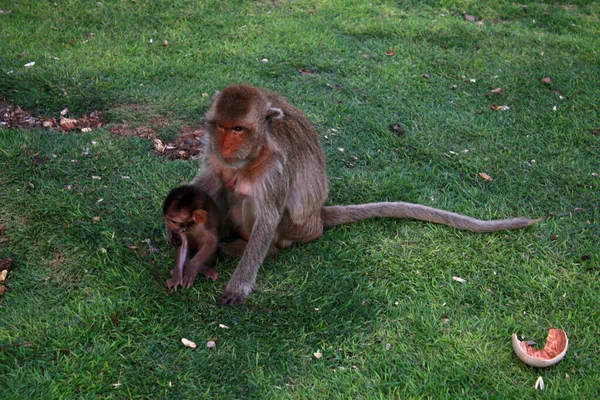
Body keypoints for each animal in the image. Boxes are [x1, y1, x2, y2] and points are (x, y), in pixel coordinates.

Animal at [188, 83, 540, 304]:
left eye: (238, 129)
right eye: (221, 126)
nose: (225, 145)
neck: (254, 150)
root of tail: (317, 218)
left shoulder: (275, 166)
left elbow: (267, 216)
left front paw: (239, 285)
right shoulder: (212, 153)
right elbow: (204, 186)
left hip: (295, 228)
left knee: (253, 204)